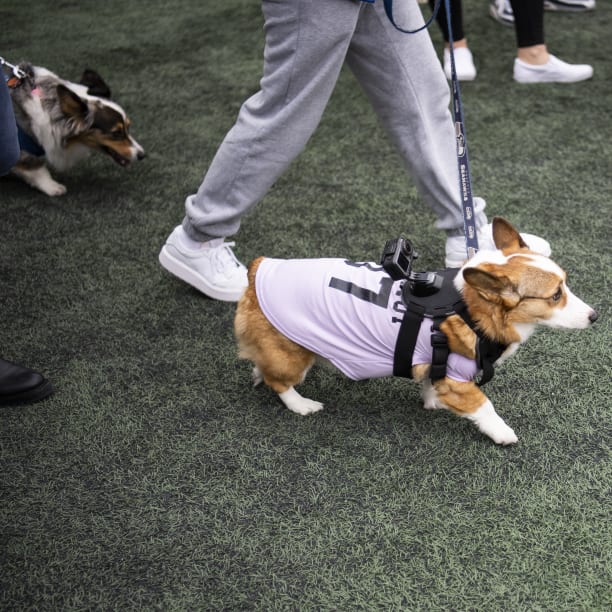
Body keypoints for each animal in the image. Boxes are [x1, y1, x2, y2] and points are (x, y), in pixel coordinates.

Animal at [8, 63, 145, 195]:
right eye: (116, 133)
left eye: (128, 126)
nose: (142, 155)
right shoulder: (20, 148)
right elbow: (36, 169)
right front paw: (53, 187)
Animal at [234, 219, 596, 444]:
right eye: (555, 295)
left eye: (565, 283)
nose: (595, 316)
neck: (473, 308)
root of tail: (257, 270)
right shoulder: (459, 379)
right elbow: (484, 406)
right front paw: (503, 433)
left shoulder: (433, 362)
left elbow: (428, 381)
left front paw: (432, 400)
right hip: (294, 356)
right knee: (279, 382)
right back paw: (302, 404)